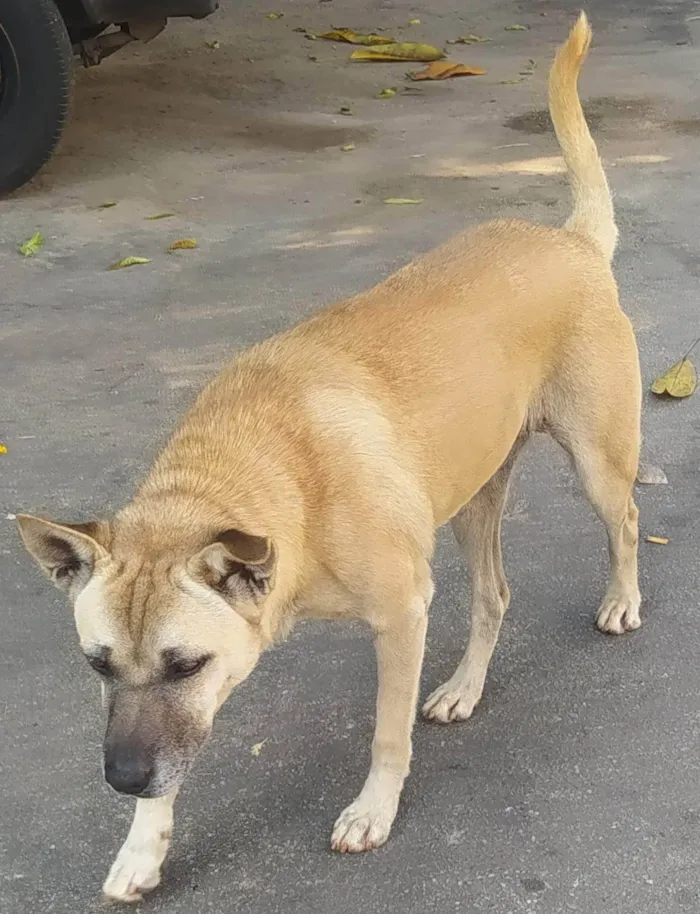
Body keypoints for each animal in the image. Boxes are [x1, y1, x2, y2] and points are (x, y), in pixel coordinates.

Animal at [17, 14, 640, 904]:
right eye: (96, 663)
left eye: (185, 664)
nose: (123, 780)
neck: (269, 471)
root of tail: (567, 239)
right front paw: (143, 844)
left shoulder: (402, 614)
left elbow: (385, 735)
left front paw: (373, 809)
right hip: (472, 505)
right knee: (495, 597)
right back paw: (464, 687)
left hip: (595, 463)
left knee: (625, 522)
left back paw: (623, 599)